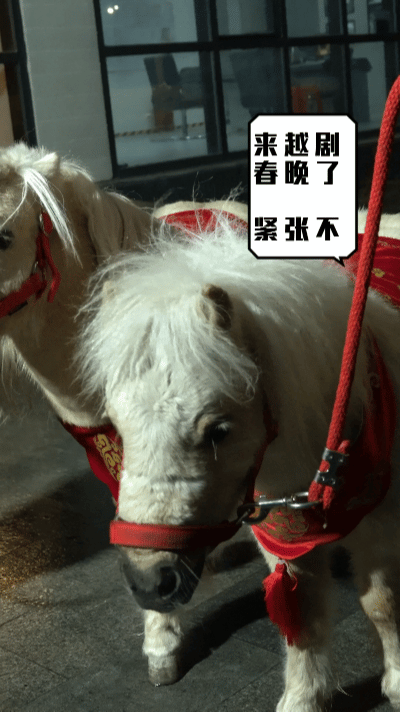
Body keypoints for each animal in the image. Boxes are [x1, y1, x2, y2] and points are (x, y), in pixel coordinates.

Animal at [77, 207, 400, 710]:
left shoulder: (381, 524)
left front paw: (397, 682)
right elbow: (303, 614)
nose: (150, 583)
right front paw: (304, 697)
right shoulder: (284, 533)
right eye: (116, 424)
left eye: (218, 431)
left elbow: (383, 605)